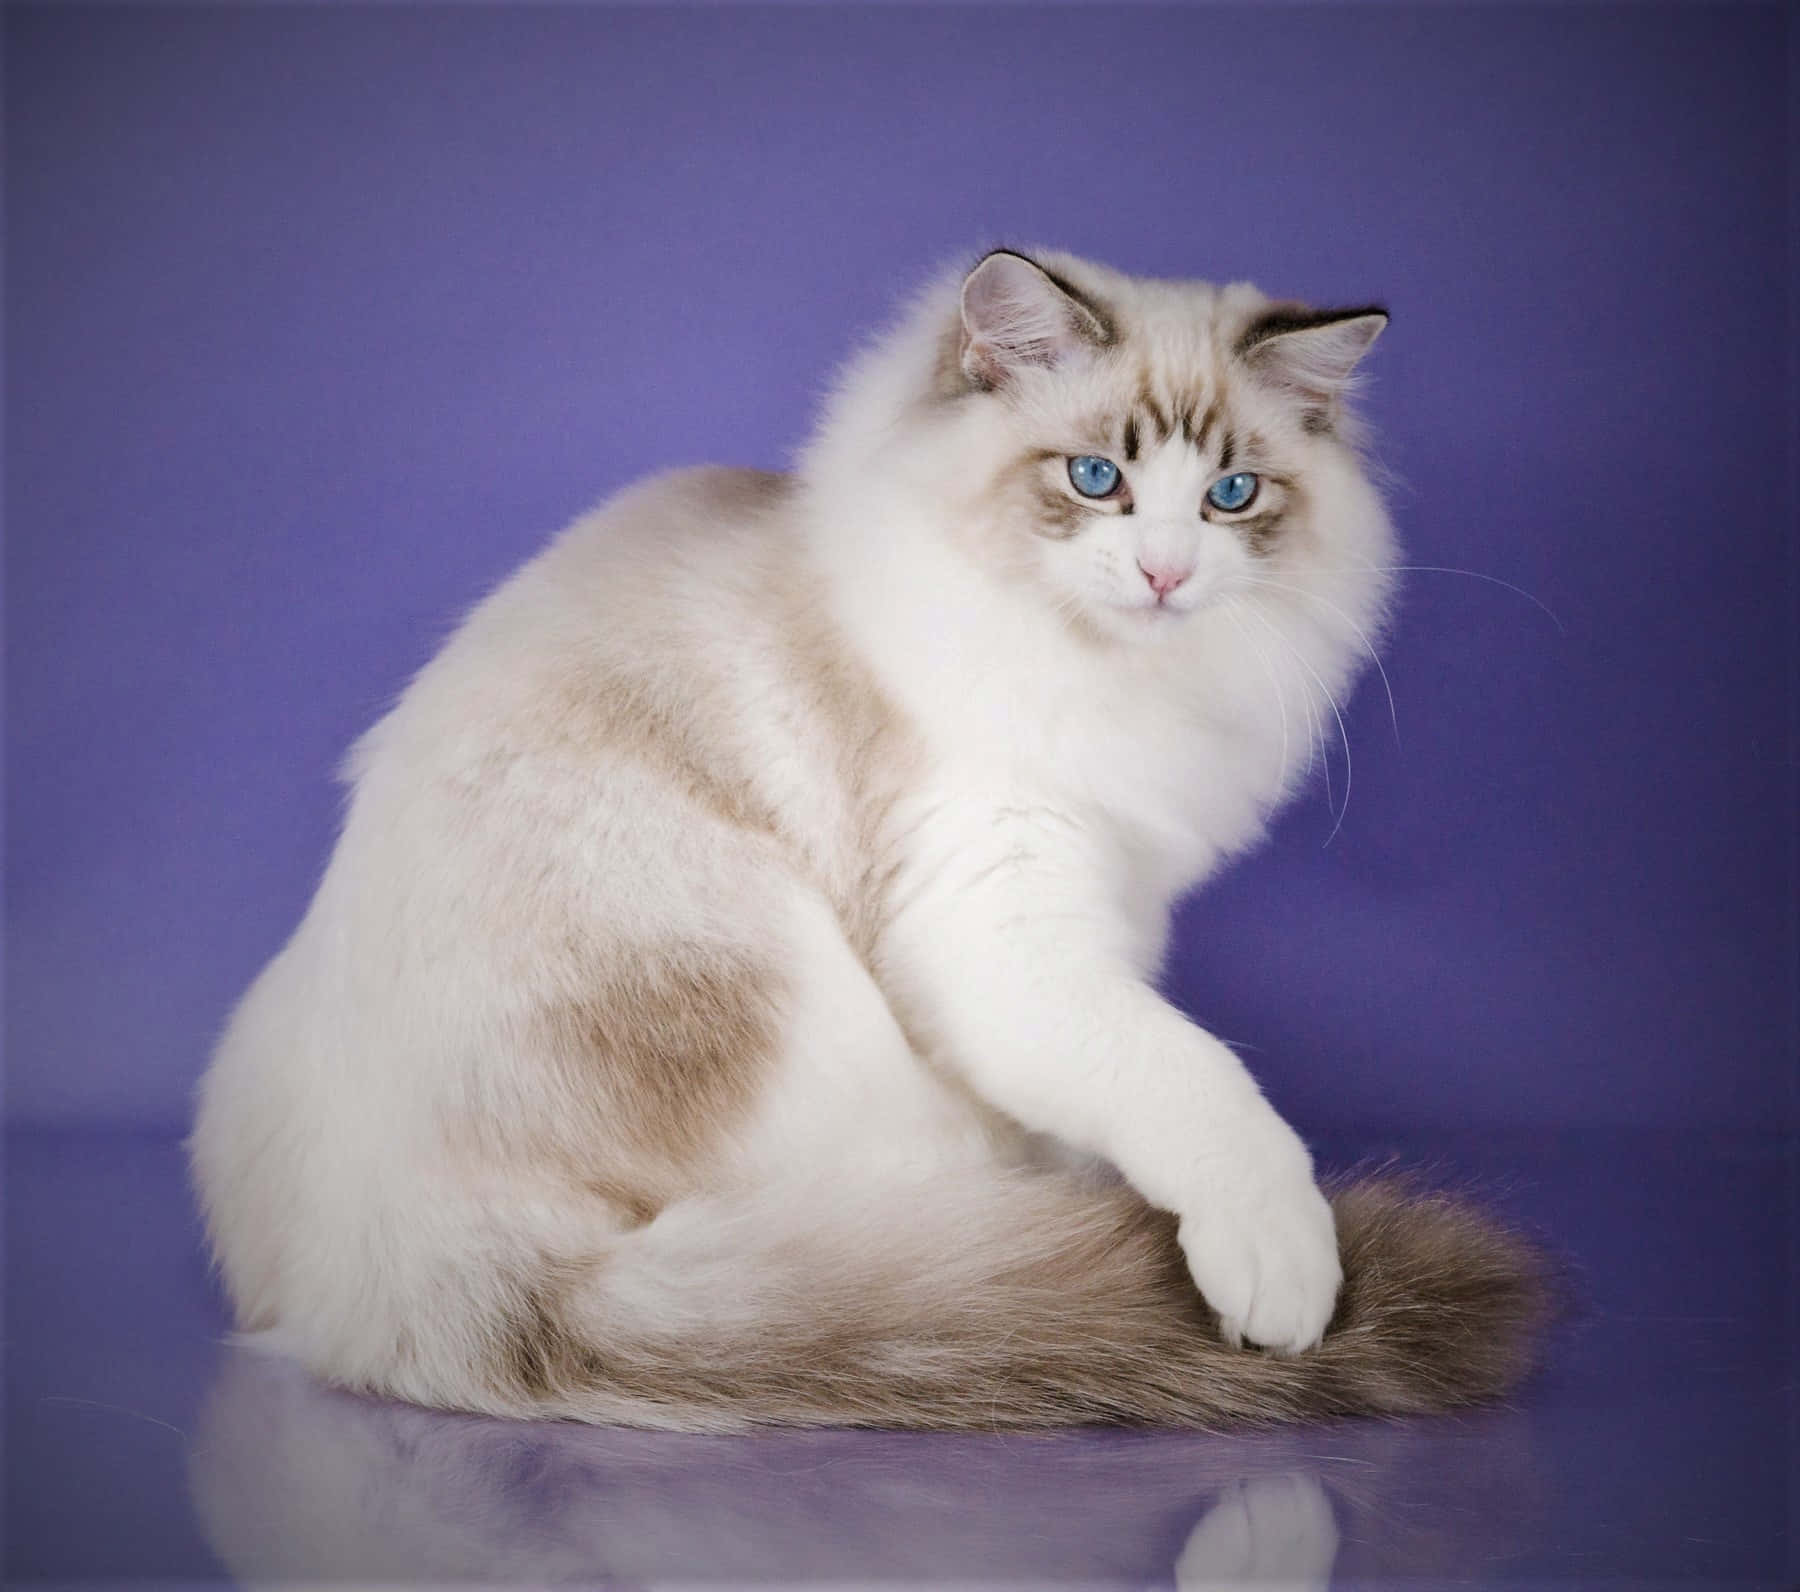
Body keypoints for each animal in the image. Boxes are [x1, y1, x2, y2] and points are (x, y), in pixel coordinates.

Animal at [193, 244, 1548, 1433]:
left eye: (1231, 496)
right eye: (1093, 479)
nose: (1166, 574)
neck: (1102, 678)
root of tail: (395, 1248)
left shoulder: (1116, 897)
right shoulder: (1003, 925)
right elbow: (1192, 1079)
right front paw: (1283, 1265)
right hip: (787, 983)